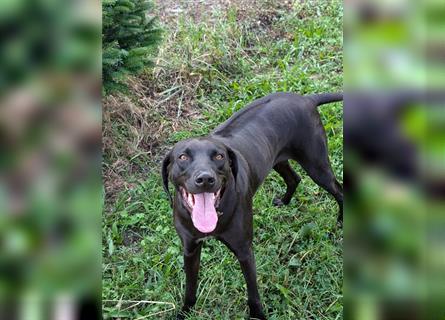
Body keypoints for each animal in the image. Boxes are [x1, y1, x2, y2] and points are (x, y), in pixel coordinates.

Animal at [161, 91, 342, 318]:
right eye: (183, 157)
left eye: (219, 156)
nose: (205, 179)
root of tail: (307, 98)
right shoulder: (190, 249)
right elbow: (190, 288)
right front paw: (185, 312)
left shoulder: (244, 251)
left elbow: (253, 292)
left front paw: (257, 315)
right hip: (278, 159)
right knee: (294, 179)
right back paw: (284, 201)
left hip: (316, 165)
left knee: (340, 191)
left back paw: (340, 222)